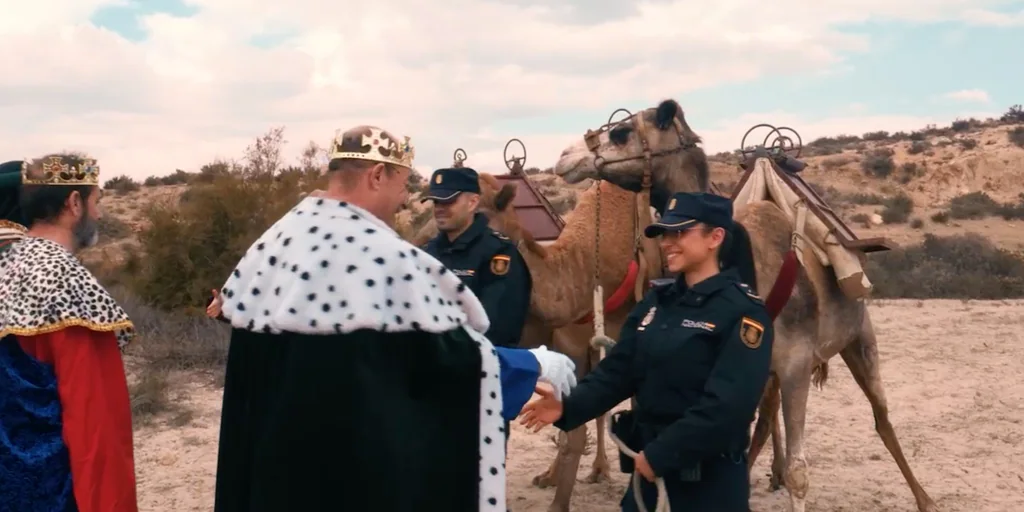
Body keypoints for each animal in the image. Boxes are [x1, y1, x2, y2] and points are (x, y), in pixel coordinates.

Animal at [552, 98, 937, 512]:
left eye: (621, 131)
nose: (564, 157)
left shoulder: (797, 363)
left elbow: (800, 472)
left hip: (859, 336)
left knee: (882, 416)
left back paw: (925, 499)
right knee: (764, 425)